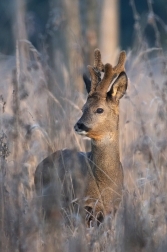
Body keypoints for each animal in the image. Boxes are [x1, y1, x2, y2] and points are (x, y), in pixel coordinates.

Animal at [34, 48, 127, 222]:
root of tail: (38, 167)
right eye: (83, 108)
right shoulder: (82, 205)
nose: (79, 125)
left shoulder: (113, 210)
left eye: (99, 109)